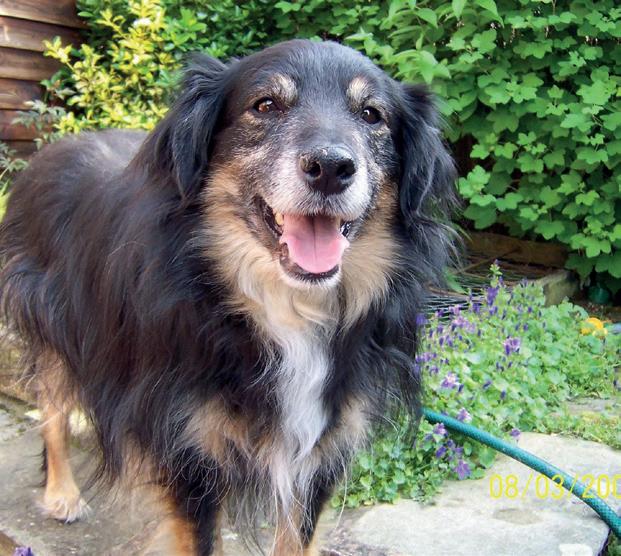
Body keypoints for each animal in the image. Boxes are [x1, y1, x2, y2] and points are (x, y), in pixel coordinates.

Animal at [0, 39, 455, 555]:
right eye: (266, 105)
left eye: (372, 115)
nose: (331, 168)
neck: (285, 309)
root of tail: (54, 147)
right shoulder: (189, 453)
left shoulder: (321, 447)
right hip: (55, 326)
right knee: (53, 411)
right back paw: (62, 493)